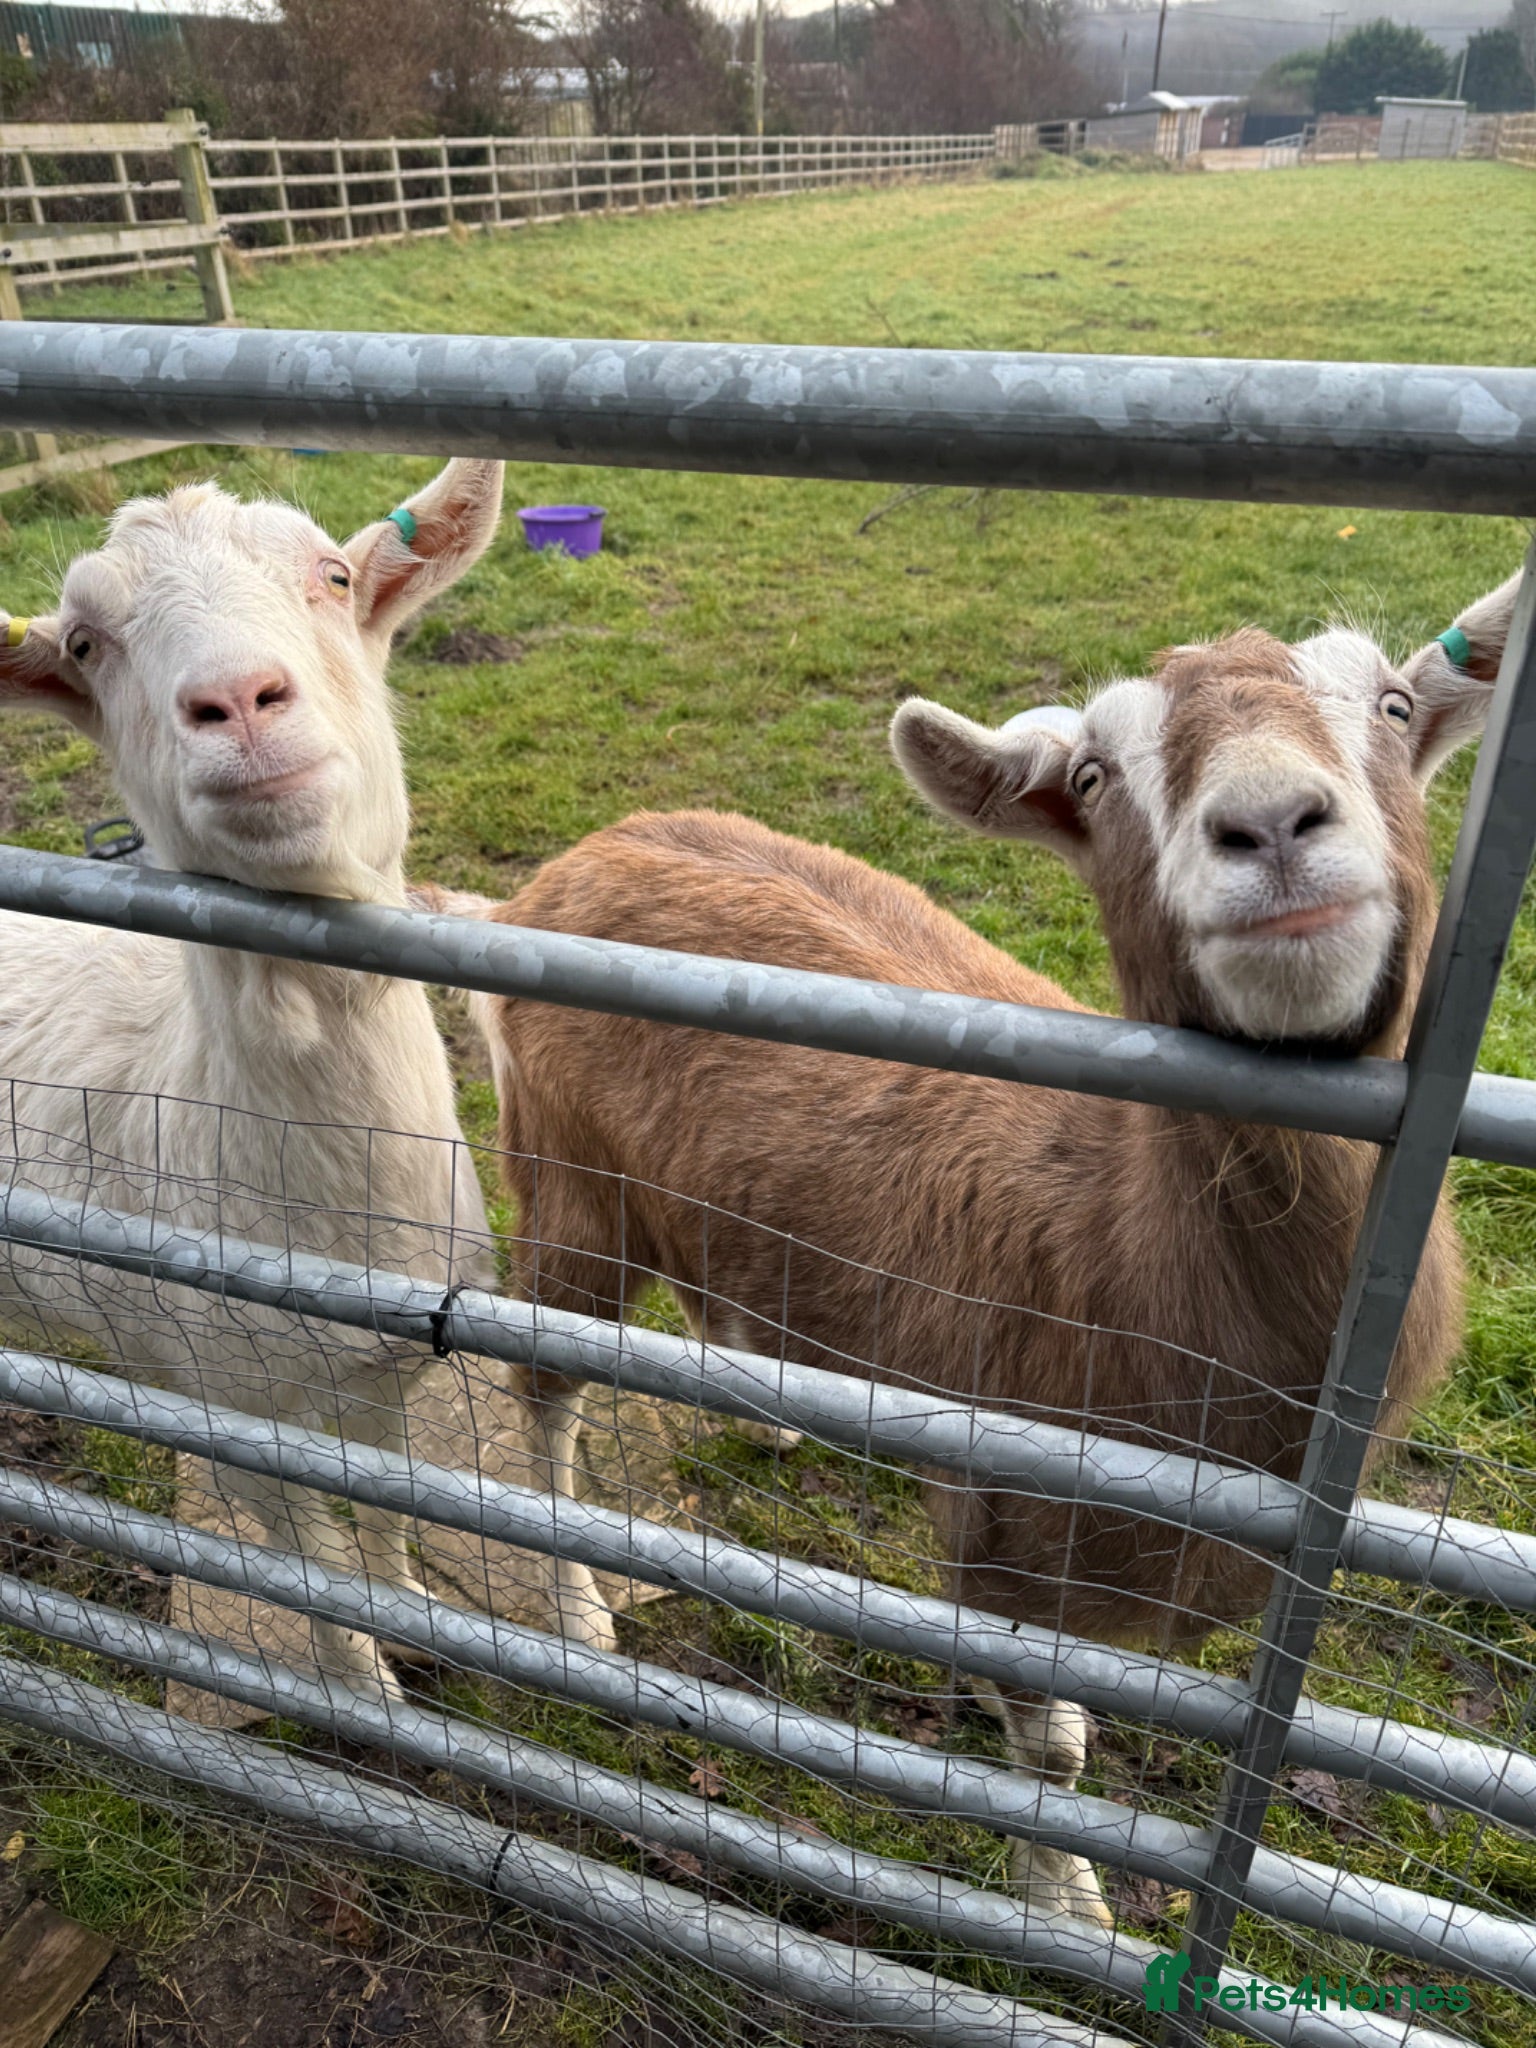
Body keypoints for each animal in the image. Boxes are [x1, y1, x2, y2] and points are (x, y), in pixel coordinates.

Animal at [0, 457, 611, 1691]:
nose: (237, 702)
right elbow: (312, 1574)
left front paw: (410, 1600)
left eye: (334, 576)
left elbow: (382, 1507)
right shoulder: (228, 1415)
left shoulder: (387, 1370)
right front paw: (367, 1684)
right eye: (85, 644)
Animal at [430, 571, 1518, 1918]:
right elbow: (1050, 1748)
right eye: (1096, 777)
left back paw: (764, 1406)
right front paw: (1068, 1904)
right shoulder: (1006, 1533)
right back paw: (577, 1602)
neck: (1121, 1235)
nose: (1270, 824)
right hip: (570, 1183)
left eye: (1395, 704)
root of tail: (545, 882)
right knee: (545, 1381)